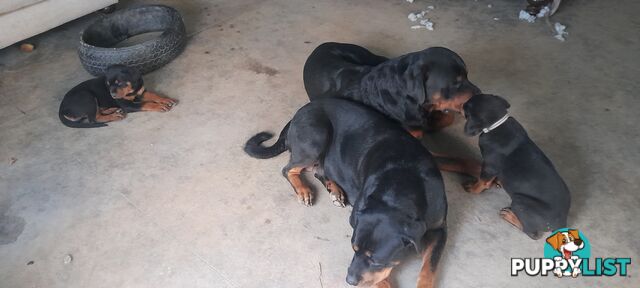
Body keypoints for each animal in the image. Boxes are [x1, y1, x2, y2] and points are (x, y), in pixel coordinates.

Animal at [242, 98, 448, 286]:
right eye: (353, 248)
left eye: (376, 260)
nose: (349, 281)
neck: (402, 182)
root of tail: (299, 113)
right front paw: (384, 282)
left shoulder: (439, 228)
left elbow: (430, 266)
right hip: (317, 135)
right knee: (288, 169)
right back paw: (304, 190)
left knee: (318, 171)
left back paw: (335, 191)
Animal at [302, 42, 478, 136]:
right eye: (455, 83)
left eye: (468, 75)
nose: (480, 93)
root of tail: (321, 46)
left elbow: (446, 117)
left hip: (370, 57)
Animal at [460, 94, 568, 238]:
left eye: (466, 108)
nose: (460, 105)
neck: (497, 125)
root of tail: (561, 223)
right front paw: (497, 181)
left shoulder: (490, 165)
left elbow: (483, 181)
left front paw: (473, 189)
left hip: (520, 201)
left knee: (531, 233)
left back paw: (509, 216)